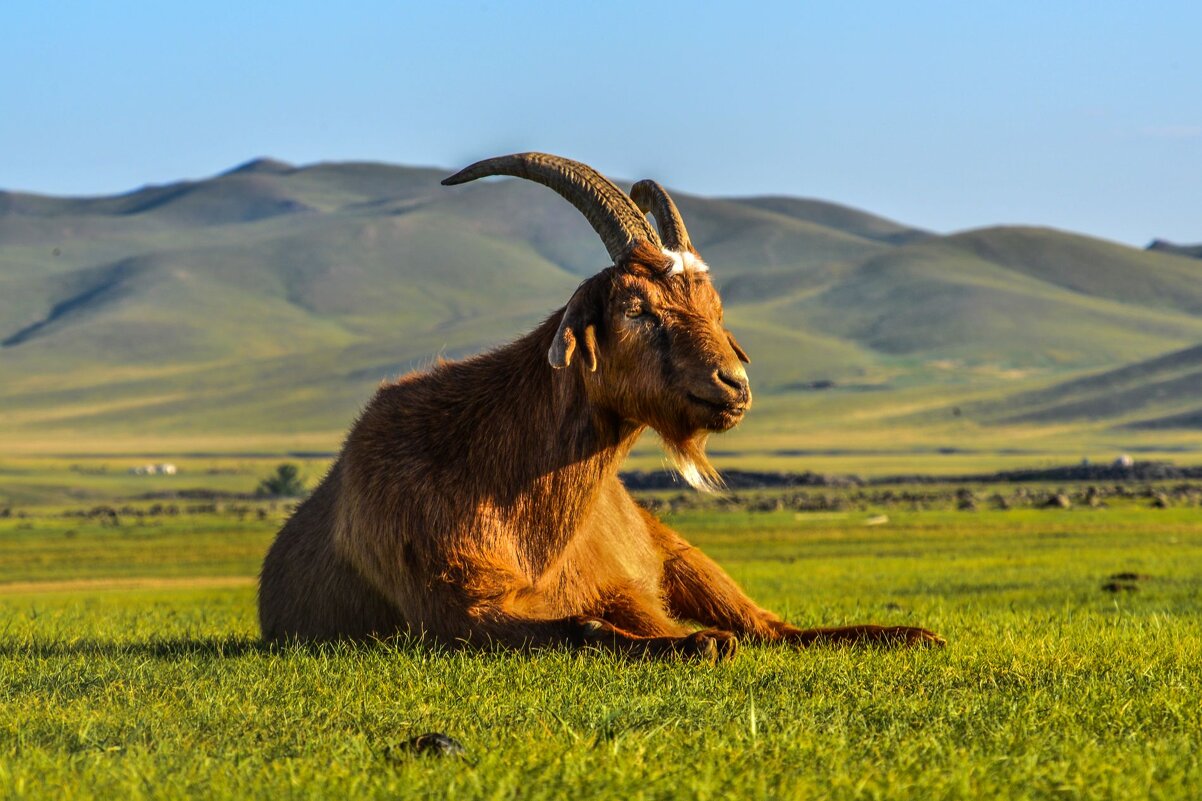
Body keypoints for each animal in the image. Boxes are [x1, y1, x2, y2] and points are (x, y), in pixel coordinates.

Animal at [258, 152, 942, 659]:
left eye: (714, 306)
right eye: (637, 309)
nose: (733, 384)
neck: (488, 471)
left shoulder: (620, 584)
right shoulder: (456, 610)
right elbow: (588, 628)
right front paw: (696, 645)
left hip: (682, 555)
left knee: (770, 626)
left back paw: (905, 634)